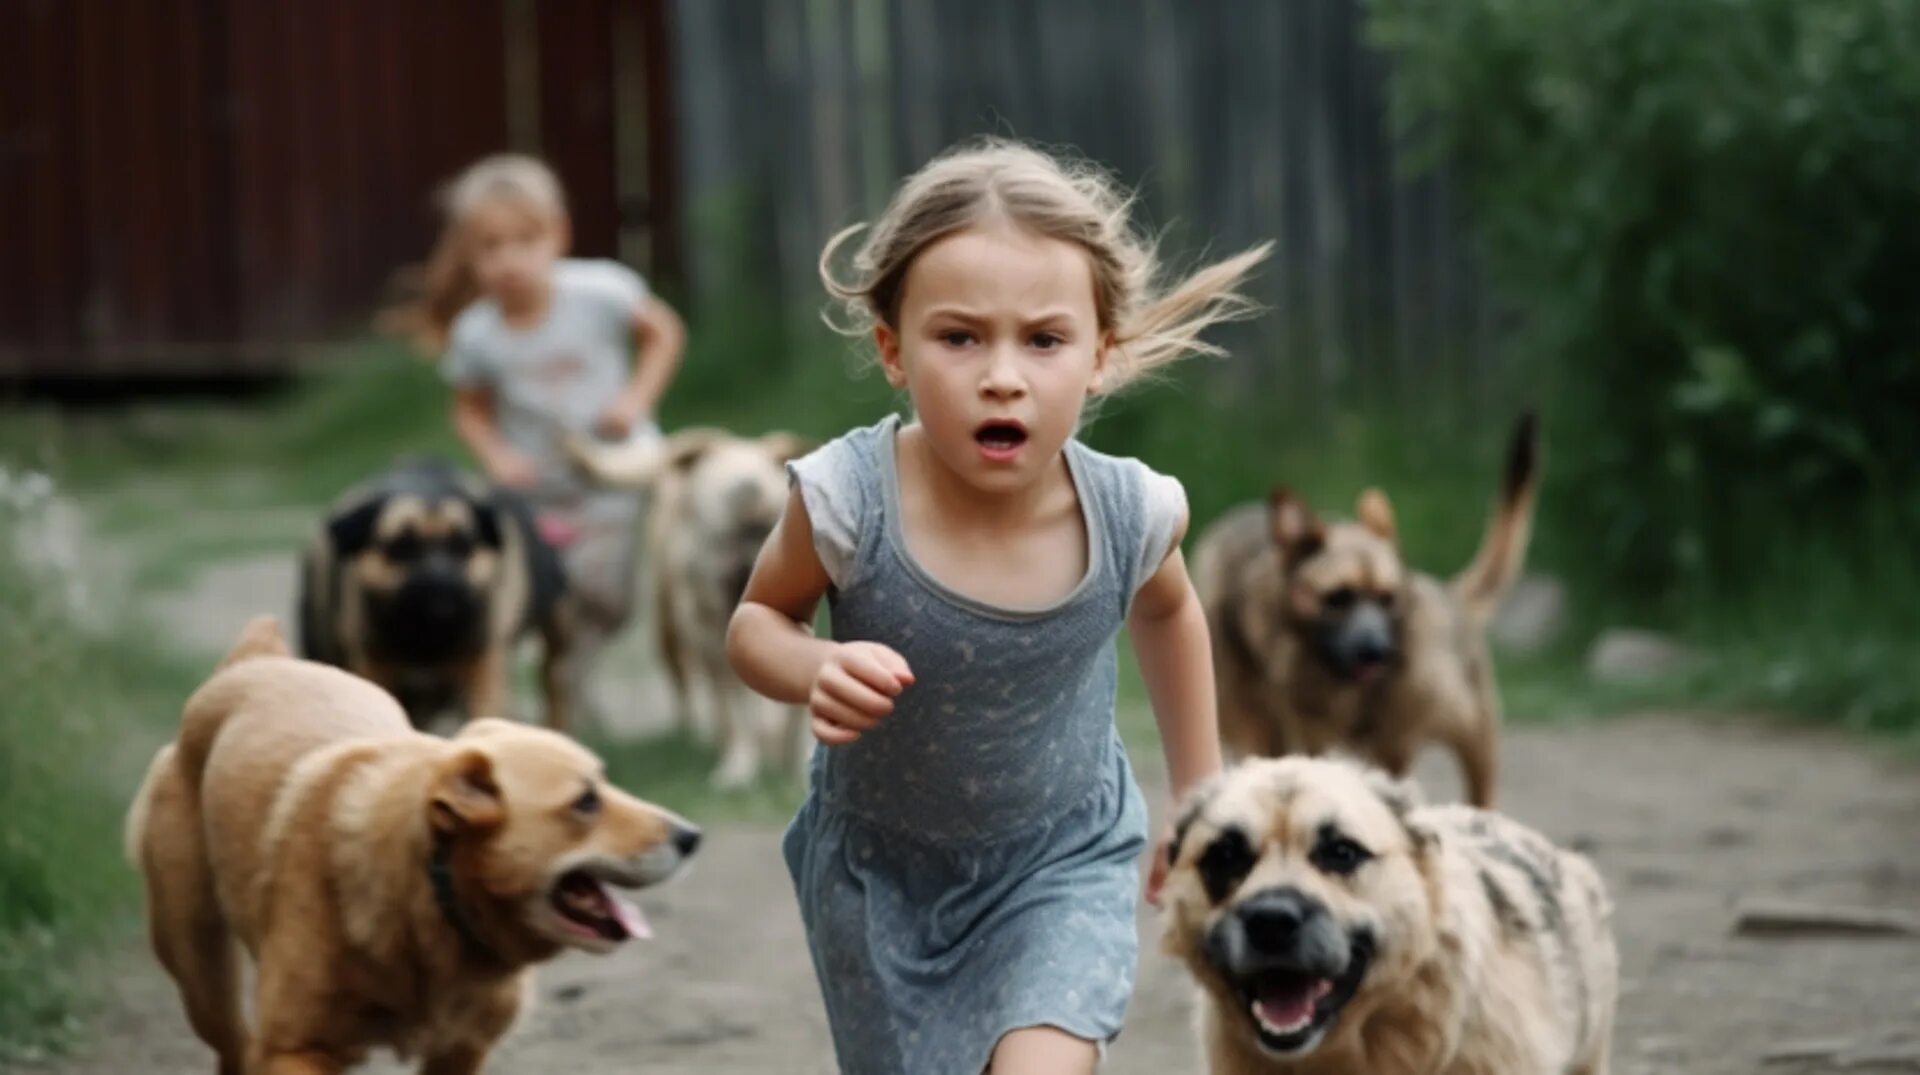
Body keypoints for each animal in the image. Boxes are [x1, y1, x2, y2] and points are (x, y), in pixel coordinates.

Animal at [127, 618, 702, 1075]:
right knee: (232, 1048)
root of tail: (254, 663)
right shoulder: (296, 1049)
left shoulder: (460, 1051)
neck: (433, 889)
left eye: (604, 784)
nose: (692, 837)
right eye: (585, 802)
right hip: (200, 972)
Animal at [295, 456, 572, 733]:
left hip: (555, 645)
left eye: (461, 546)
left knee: (554, 684)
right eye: (401, 547)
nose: (443, 590)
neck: (428, 639)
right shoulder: (375, 669)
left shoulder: (483, 669)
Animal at [1190, 410, 1536, 806]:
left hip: (1465, 737)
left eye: (1388, 598)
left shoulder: (1389, 742)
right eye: (1338, 597)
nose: (1378, 653)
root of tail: (1449, 596)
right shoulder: (1290, 733)